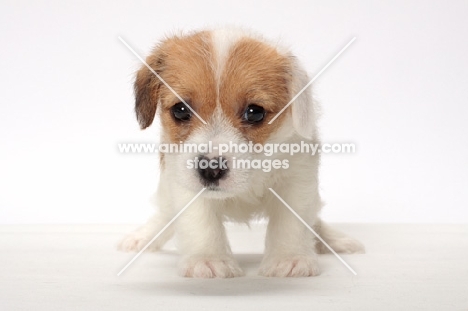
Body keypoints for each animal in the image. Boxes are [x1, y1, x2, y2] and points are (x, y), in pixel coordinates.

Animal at [118, 28, 366, 280]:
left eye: (255, 113)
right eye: (180, 110)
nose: (211, 169)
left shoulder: (297, 180)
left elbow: (292, 223)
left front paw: (289, 258)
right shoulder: (183, 183)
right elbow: (200, 223)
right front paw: (208, 259)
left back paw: (333, 239)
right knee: (165, 214)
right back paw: (143, 237)